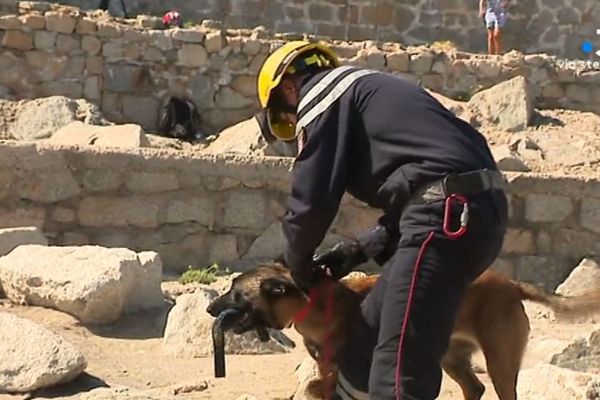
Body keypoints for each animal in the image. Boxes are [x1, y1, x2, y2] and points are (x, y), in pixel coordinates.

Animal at [205, 262, 600, 400]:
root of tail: (512, 284)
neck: (312, 303)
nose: (209, 309)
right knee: (475, 388)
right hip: (451, 358)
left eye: (236, 294)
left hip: (500, 360)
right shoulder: (327, 367)